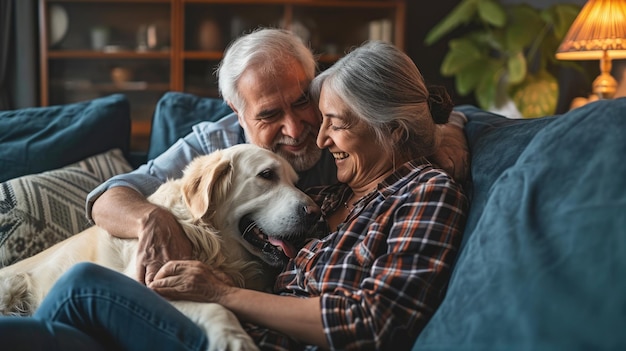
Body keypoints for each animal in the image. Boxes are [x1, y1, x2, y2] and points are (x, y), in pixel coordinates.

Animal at [0, 144, 320, 350]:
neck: (206, 238)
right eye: (267, 175)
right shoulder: (147, 280)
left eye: (297, 182)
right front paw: (234, 339)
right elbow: (215, 305)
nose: (316, 213)